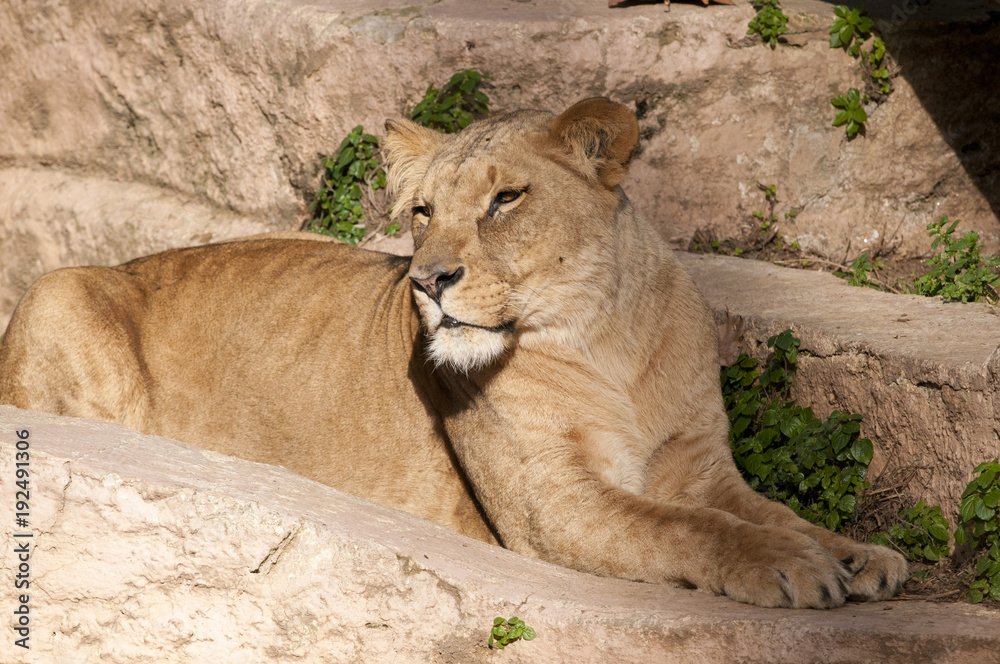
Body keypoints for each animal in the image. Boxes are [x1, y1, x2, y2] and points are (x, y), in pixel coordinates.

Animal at [0, 98, 907, 608]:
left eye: (507, 198)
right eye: (423, 212)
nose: (428, 281)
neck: (605, 339)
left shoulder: (701, 466)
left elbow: (771, 512)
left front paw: (859, 556)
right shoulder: (553, 509)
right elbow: (692, 530)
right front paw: (791, 570)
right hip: (58, 289)